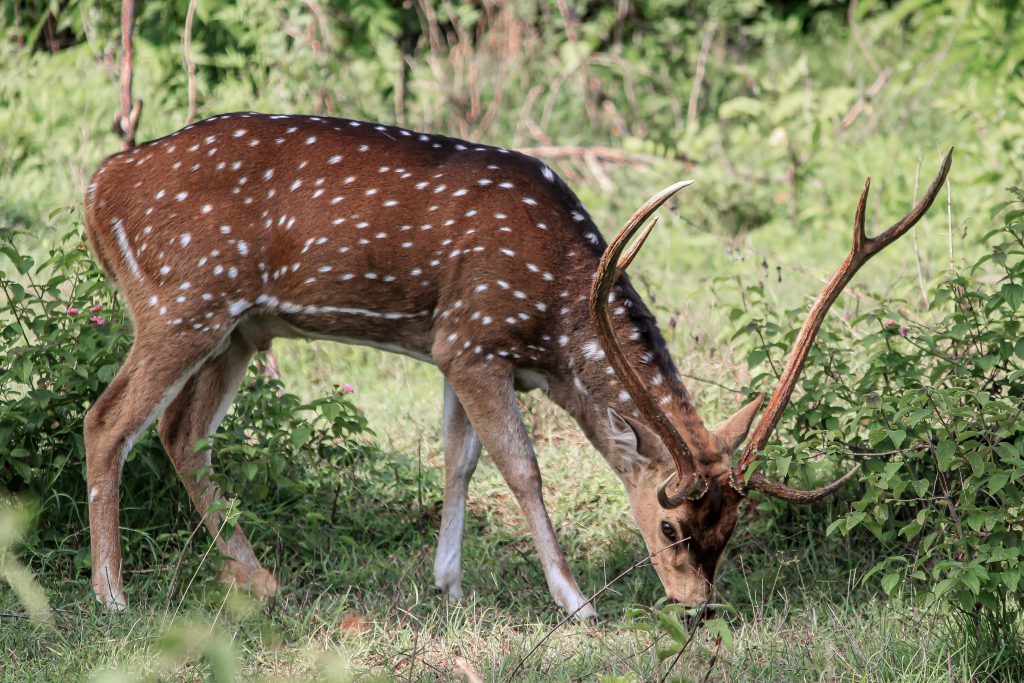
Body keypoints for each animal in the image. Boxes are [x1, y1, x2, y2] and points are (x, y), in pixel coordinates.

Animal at [83, 112, 954, 618]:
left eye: (733, 527)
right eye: (671, 524)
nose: (699, 606)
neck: (555, 322)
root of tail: (97, 188)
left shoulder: (450, 344)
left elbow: (459, 458)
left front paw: (448, 583)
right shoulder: (474, 338)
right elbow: (521, 465)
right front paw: (574, 601)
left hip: (239, 329)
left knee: (180, 432)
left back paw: (259, 582)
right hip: (183, 300)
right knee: (107, 421)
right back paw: (114, 595)